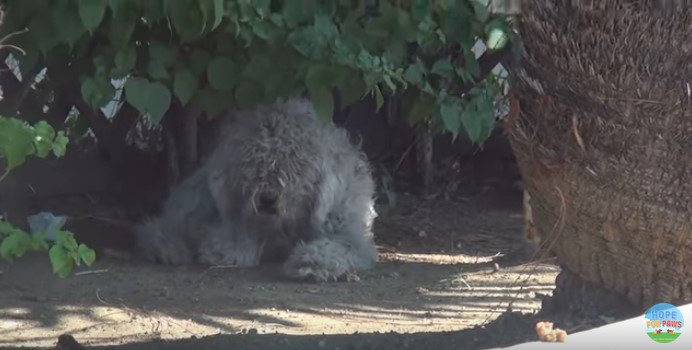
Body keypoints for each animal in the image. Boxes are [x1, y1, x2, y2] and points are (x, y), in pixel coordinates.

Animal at [135, 96, 378, 282]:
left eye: (295, 164)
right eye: (252, 163)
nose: (267, 199)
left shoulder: (351, 234)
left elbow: (339, 245)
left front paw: (312, 261)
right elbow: (238, 237)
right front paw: (227, 250)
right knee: (160, 228)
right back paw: (169, 248)